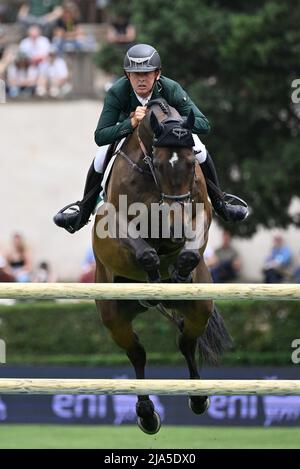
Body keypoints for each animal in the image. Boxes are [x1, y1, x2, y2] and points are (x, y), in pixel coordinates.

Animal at [91, 99, 230, 436]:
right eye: (159, 163)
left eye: (192, 164)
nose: (175, 227)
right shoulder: (116, 221)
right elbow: (146, 253)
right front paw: (156, 271)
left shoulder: (200, 213)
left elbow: (190, 250)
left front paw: (178, 271)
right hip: (113, 314)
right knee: (137, 353)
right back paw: (146, 414)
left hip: (200, 306)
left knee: (186, 342)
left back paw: (198, 398)